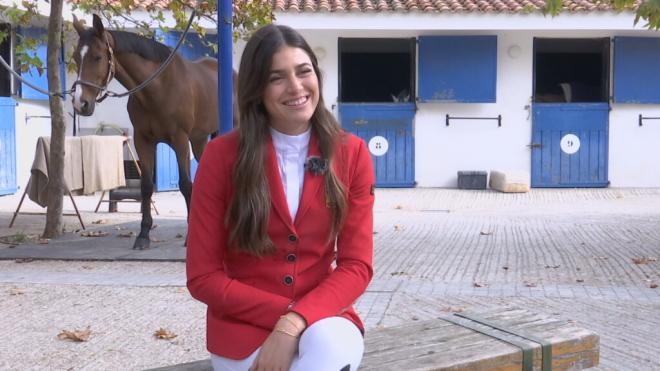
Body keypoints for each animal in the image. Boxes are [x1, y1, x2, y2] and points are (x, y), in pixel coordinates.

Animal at [72, 14, 235, 248]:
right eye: (76, 57)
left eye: (97, 57)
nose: (80, 103)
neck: (157, 89)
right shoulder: (143, 141)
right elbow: (147, 186)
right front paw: (143, 234)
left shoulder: (179, 139)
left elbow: (186, 184)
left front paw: (190, 236)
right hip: (199, 139)